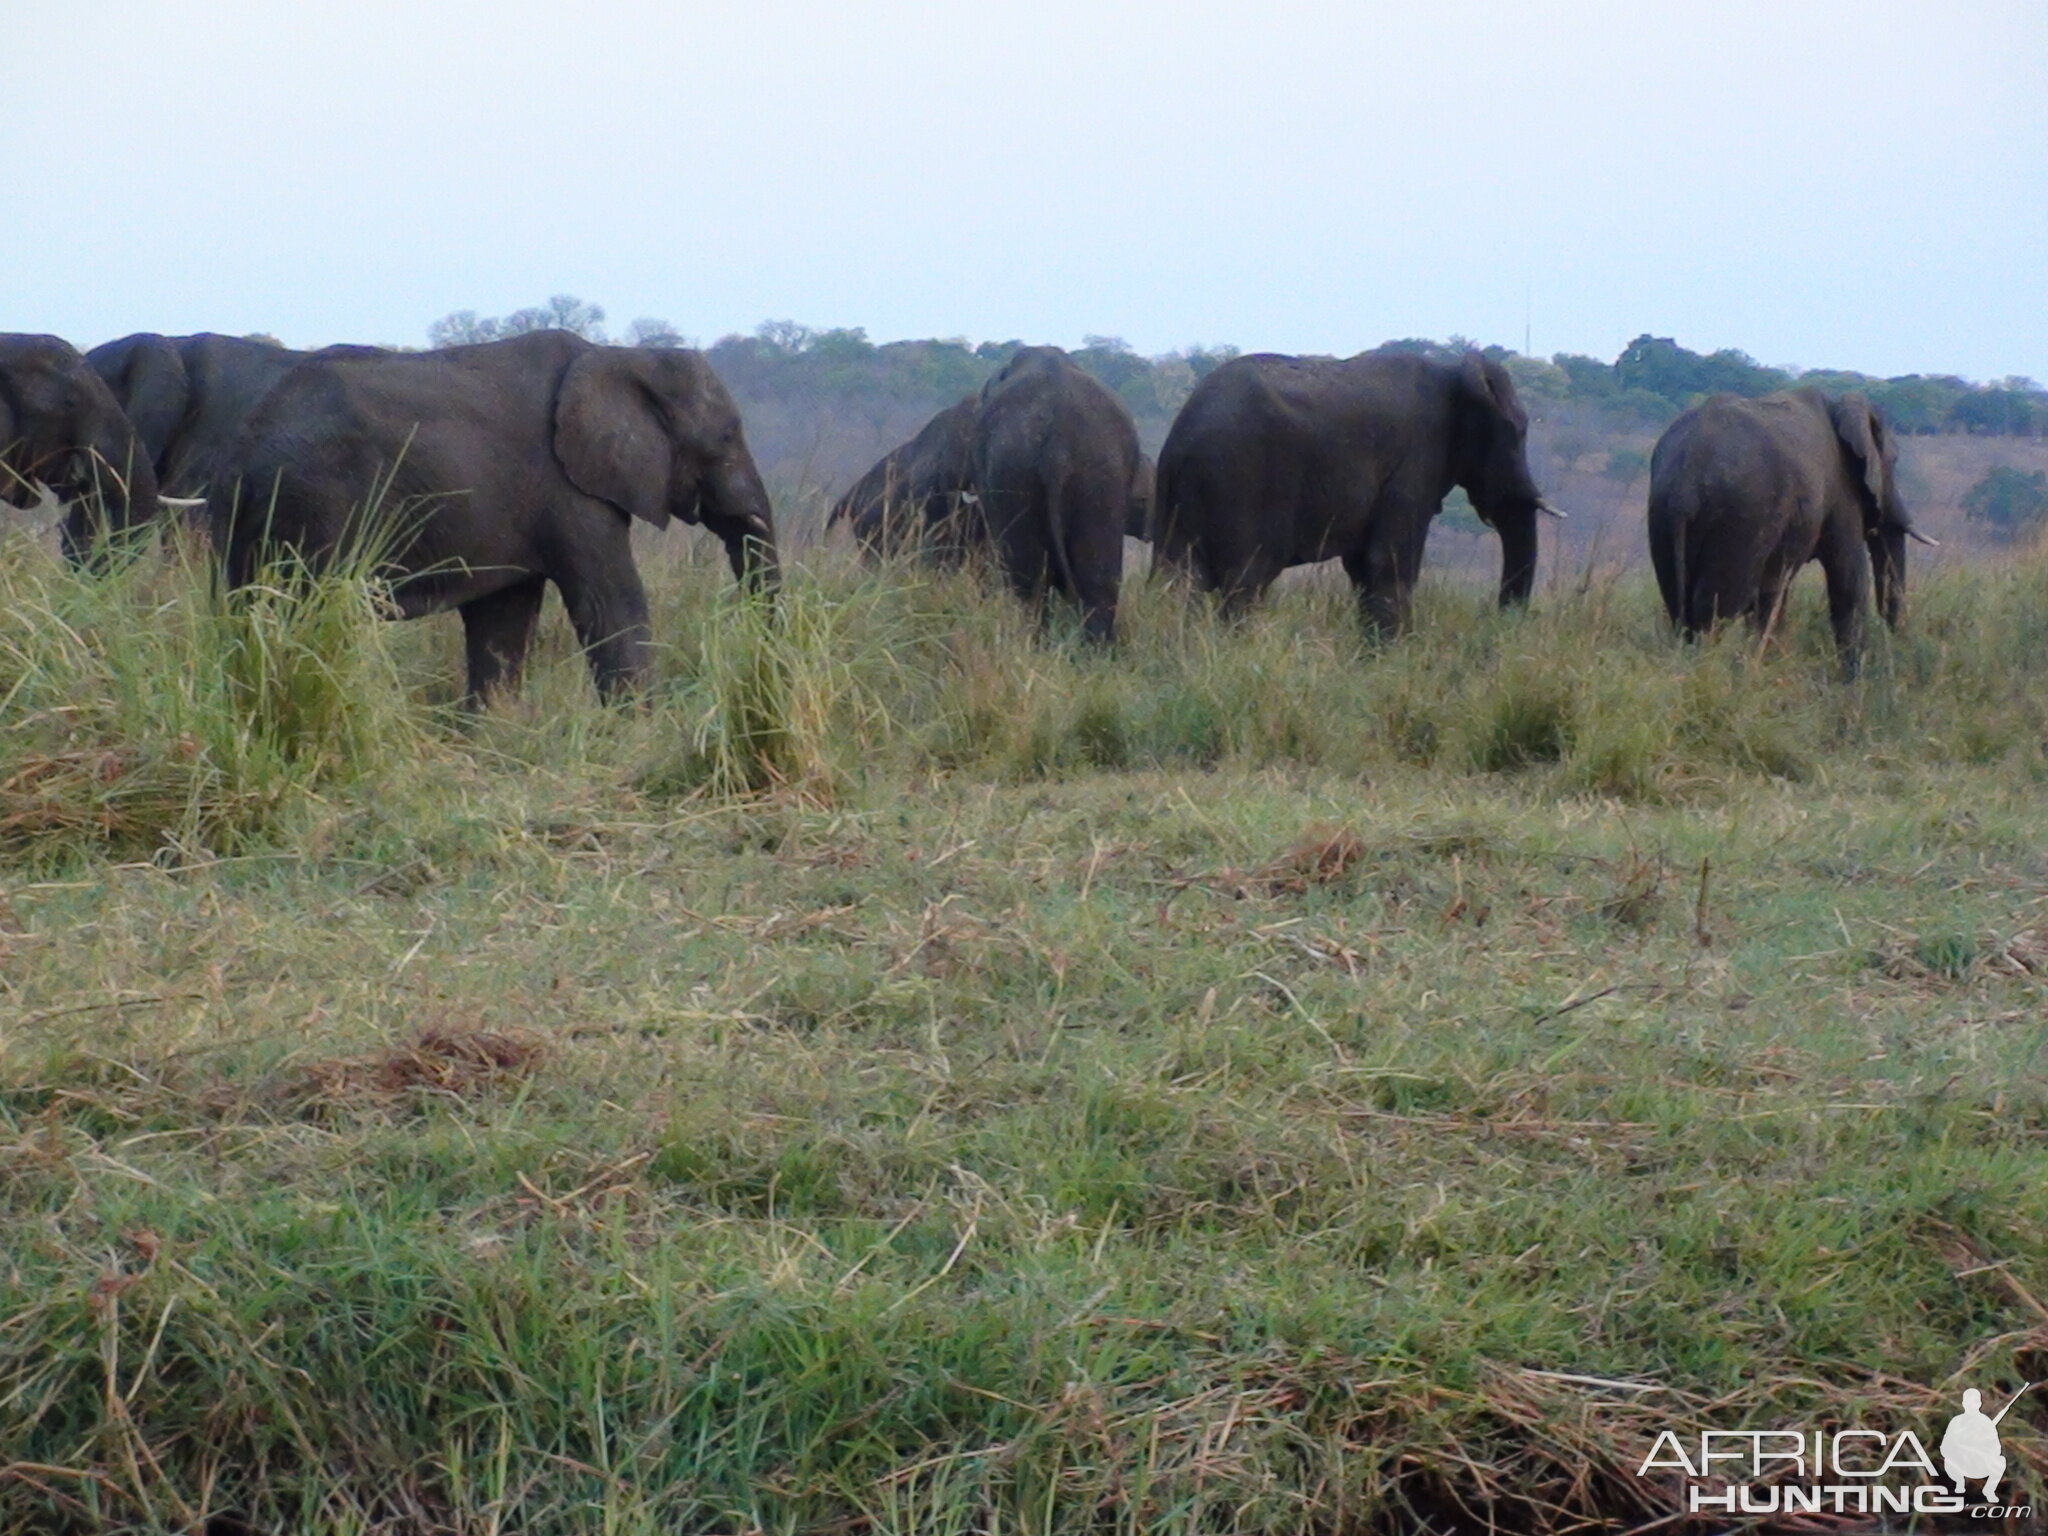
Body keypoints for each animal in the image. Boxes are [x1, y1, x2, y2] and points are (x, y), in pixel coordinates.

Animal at [216, 333, 774, 708]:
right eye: (727, 437)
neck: (618, 353)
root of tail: (247, 444)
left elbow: (503, 619)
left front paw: (491, 736)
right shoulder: (568, 489)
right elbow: (610, 602)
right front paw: (640, 732)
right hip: (316, 504)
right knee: (305, 610)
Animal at [1646, 387, 1933, 675]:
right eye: (1893, 461)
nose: (1898, 643)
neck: (1839, 407)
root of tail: (1684, 484)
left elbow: (1774, 594)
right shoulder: (1842, 493)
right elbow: (1849, 581)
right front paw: (1854, 678)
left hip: (1663, 517)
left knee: (1679, 604)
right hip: (1740, 518)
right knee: (1718, 606)